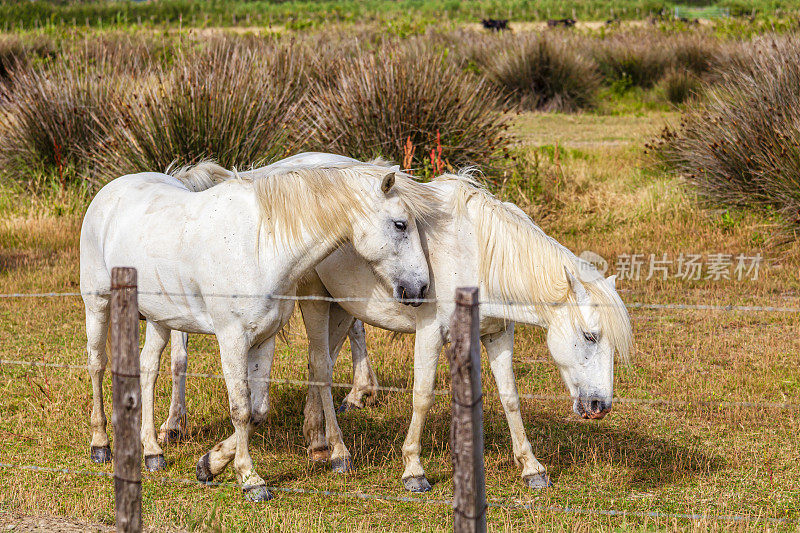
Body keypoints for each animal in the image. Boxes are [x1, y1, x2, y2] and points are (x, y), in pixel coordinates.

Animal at [78, 161, 440, 498]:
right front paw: (250, 480)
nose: (420, 288)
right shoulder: (232, 340)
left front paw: (210, 464)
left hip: (160, 319)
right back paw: (100, 444)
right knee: (96, 364)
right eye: (400, 224)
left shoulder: (264, 339)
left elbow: (257, 410)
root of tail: (109, 191)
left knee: (148, 369)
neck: (260, 246)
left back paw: (153, 451)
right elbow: (240, 409)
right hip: (98, 304)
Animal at [159, 154, 632, 490]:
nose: (600, 407)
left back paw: (311, 443)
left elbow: (510, 398)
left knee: (318, 366)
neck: (479, 251)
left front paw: (532, 468)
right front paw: (414, 470)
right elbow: (422, 396)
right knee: (320, 368)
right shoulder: (431, 334)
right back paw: (333, 452)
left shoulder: (498, 335)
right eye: (590, 336)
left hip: (341, 309)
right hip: (315, 303)